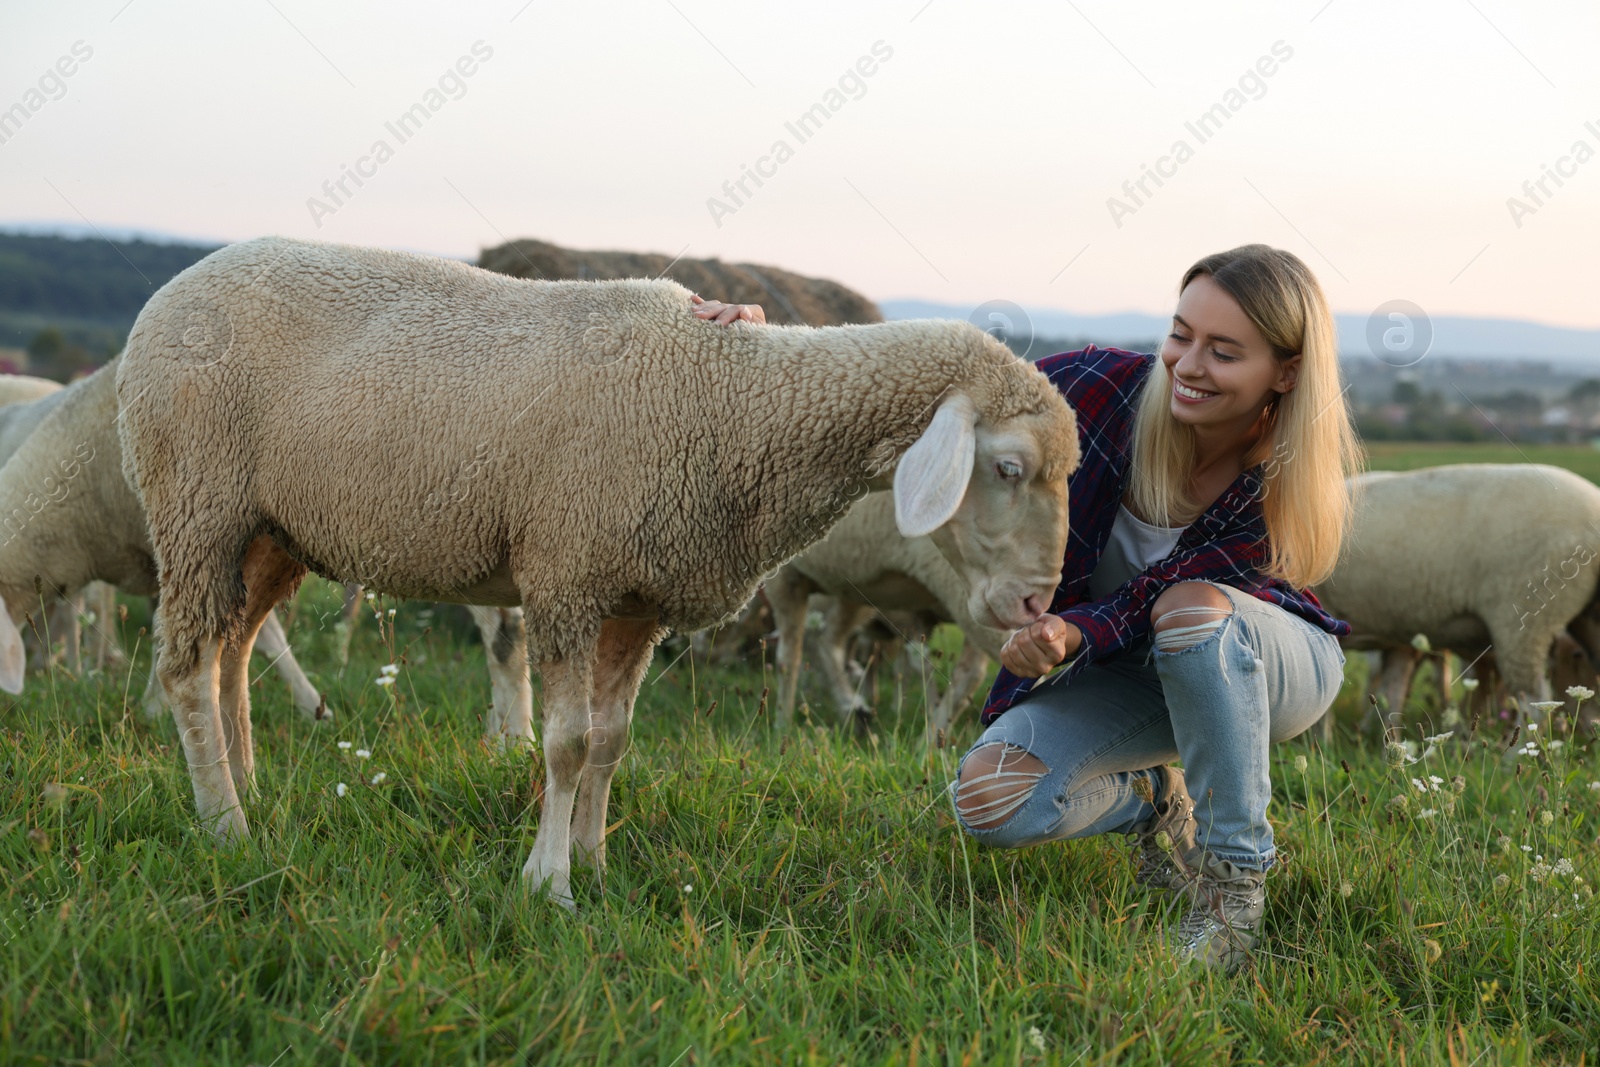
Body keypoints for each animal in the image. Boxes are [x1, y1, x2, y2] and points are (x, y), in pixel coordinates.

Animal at [1312, 463, 1600, 739]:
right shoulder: (1396, 637)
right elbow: (1390, 696)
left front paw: (1319, 745)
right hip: (1585, 619)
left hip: (1524, 619)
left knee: (1534, 700)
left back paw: (1513, 751)